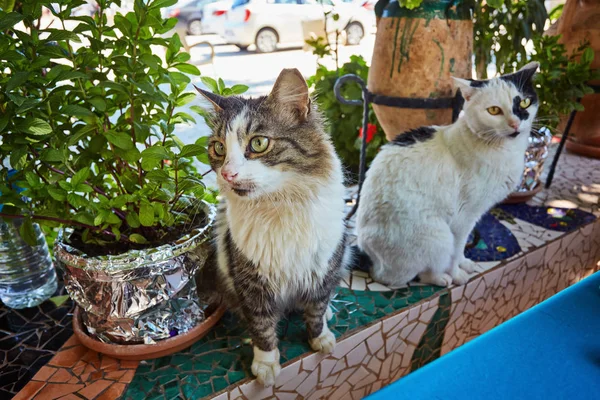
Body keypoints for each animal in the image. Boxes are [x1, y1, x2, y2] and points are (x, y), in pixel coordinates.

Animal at [197, 69, 346, 388]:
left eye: (258, 144)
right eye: (218, 148)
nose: (227, 174)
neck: (279, 206)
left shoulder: (323, 266)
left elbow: (316, 310)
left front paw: (321, 339)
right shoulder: (251, 279)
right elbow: (262, 326)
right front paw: (266, 365)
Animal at [354, 61, 540, 288]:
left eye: (524, 103)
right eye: (494, 110)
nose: (514, 124)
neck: (506, 151)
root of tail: (370, 258)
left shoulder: (474, 216)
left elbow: (461, 250)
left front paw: (464, 263)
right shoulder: (463, 217)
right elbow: (456, 249)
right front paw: (457, 273)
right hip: (439, 236)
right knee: (407, 275)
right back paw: (441, 277)